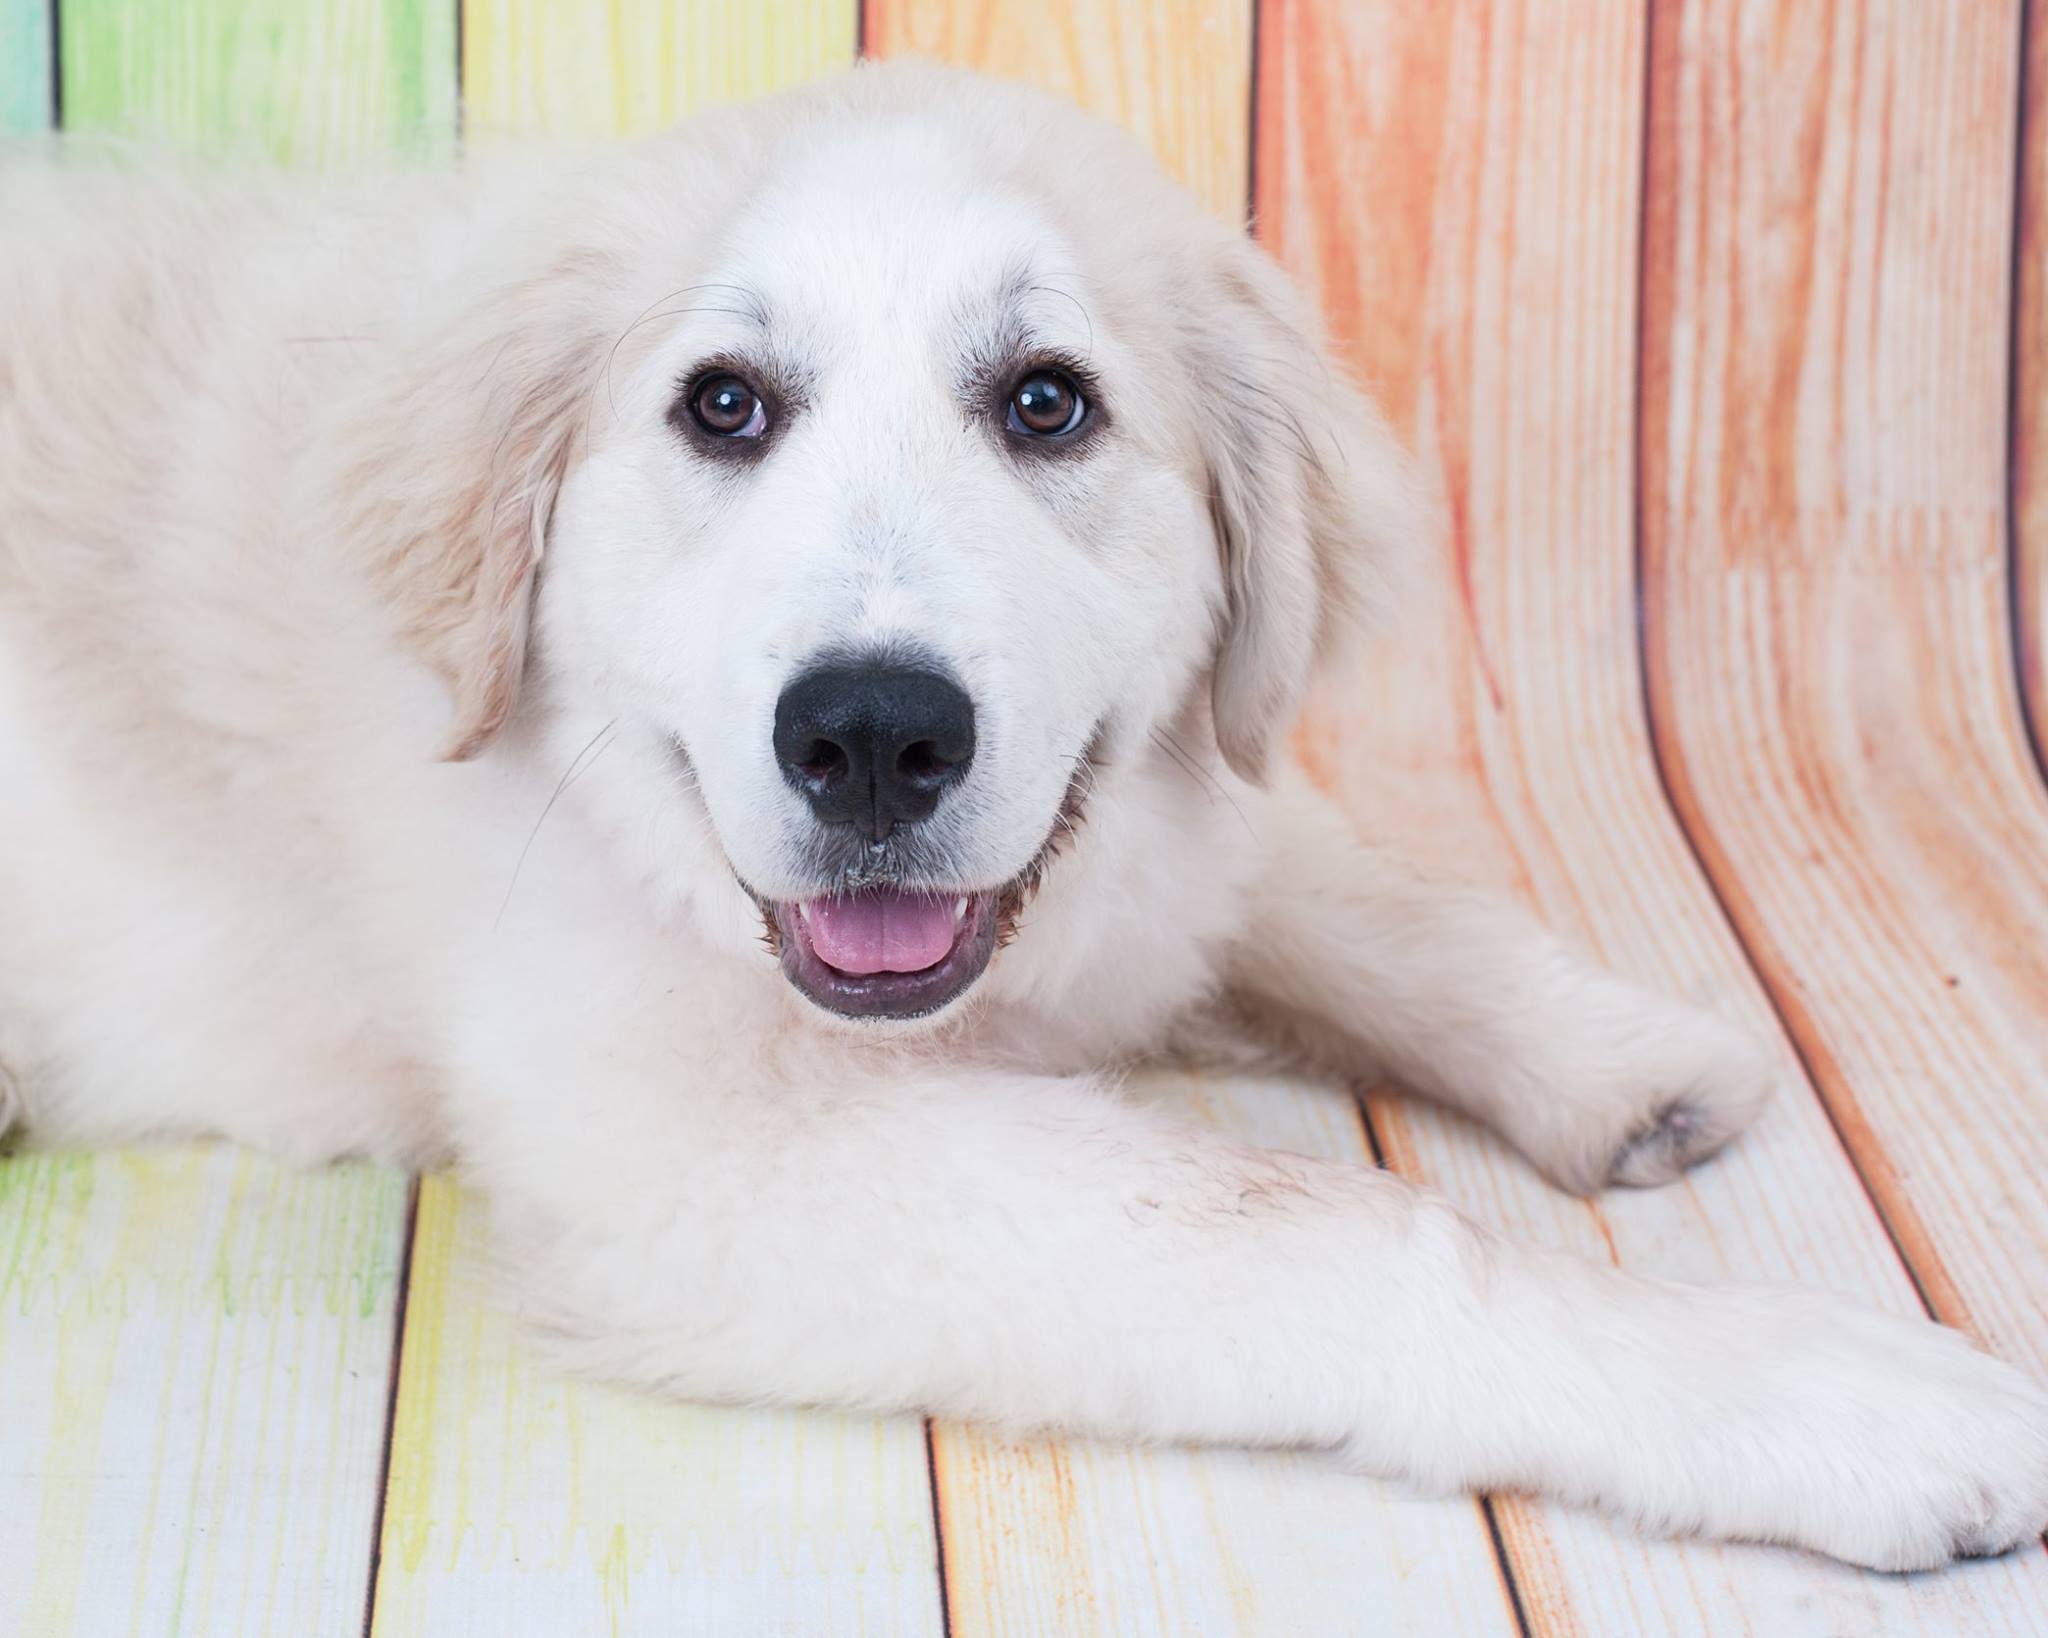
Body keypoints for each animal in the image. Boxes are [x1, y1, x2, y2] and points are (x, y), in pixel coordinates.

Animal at [4, 60, 2048, 1572]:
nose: (869, 737)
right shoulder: (702, 1153)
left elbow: (1340, 887)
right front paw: (1838, 1392)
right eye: (722, 407)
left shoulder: (1174, 820)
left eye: (1047, 403)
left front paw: (1615, 1051)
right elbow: (1319, 1219)